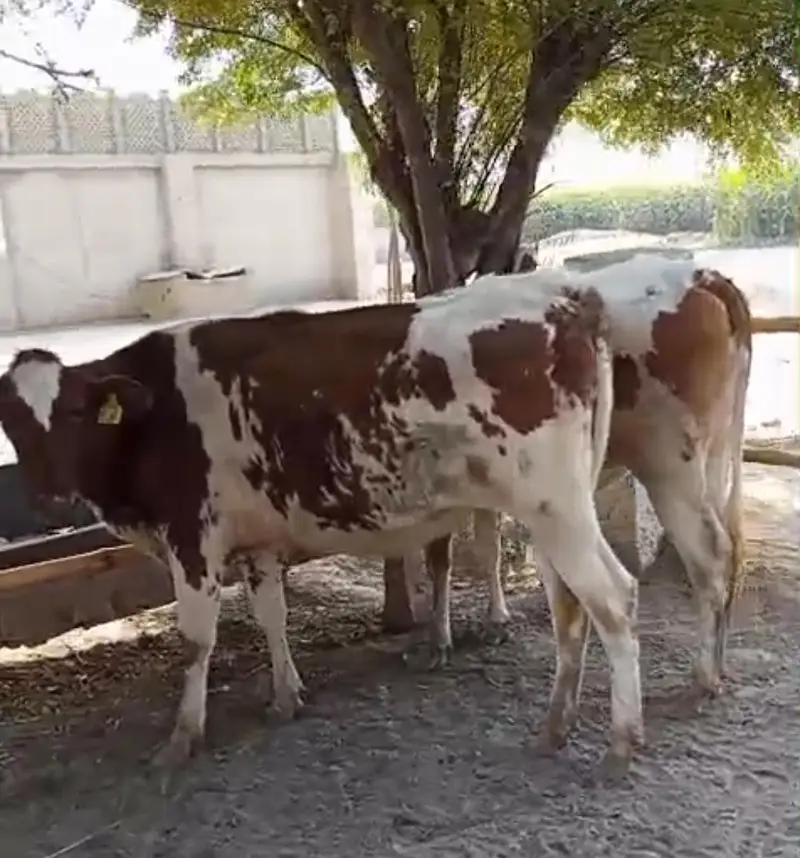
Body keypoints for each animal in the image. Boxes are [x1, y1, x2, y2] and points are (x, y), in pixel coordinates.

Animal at [0, 279, 643, 779]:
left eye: (75, 413)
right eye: (12, 424)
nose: (48, 498)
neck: (157, 414)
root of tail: (563, 297)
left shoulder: (192, 539)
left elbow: (196, 641)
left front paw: (183, 736)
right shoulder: (257, 542)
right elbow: (272, 616)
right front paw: (286, 697)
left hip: (555, 506)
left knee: (613, 597)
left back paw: (621, 742)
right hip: (550, 511)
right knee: (569, 606)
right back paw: (556, 726)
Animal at [433, 255, 751, 716]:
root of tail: (700, 276)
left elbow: (442, 554)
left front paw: (441, 637)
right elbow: (487, 545)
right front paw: (495, 619)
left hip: (673, 464)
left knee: (709, 553)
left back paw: (703, 676)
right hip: (717, 452)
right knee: (728, 548)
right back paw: (718, 665)